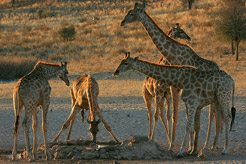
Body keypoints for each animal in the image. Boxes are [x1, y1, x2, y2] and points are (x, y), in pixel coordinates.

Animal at [120, 2, 221, 152]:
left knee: (212, 114)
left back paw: (211, 144)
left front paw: (174, 145)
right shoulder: (175, 87)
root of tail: (218, 67)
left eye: (132, 13)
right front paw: (185, 145)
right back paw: (209, 144)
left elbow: (176, 115)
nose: (122, 22)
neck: (172, 55)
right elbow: (177, 115)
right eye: (128, 12)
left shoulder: (178, 88)